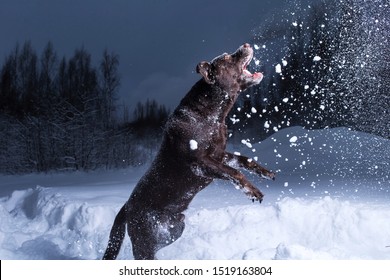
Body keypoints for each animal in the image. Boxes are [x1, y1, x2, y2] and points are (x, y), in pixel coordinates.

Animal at [102, 43, 276, 260]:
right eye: (227, 58)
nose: (246, 45)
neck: (211, 115)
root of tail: (126, 207)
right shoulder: (200, 163)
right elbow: (234, 172)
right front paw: (253, 191)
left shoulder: (220, 155)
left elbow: (244, 160)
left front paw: (265, 172)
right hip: (145, 239)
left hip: (174, 228)